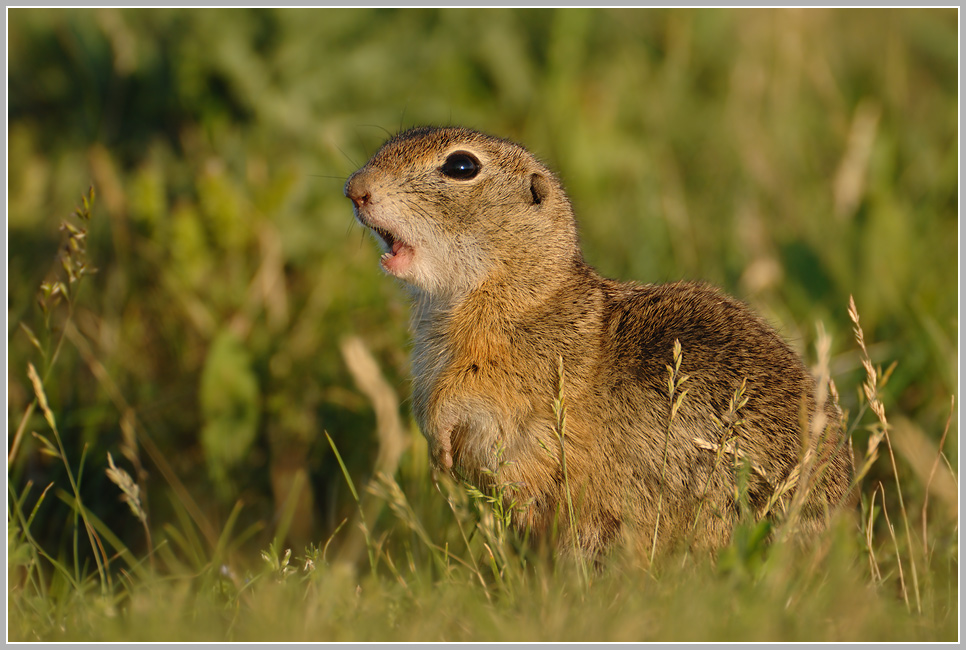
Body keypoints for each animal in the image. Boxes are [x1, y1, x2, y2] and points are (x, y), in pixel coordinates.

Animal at [346, 125, 856, 556]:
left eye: (461, 166)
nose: (355, 188)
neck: (519, 288)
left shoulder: (519, 370)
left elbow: (460, 395)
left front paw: (439, 452)